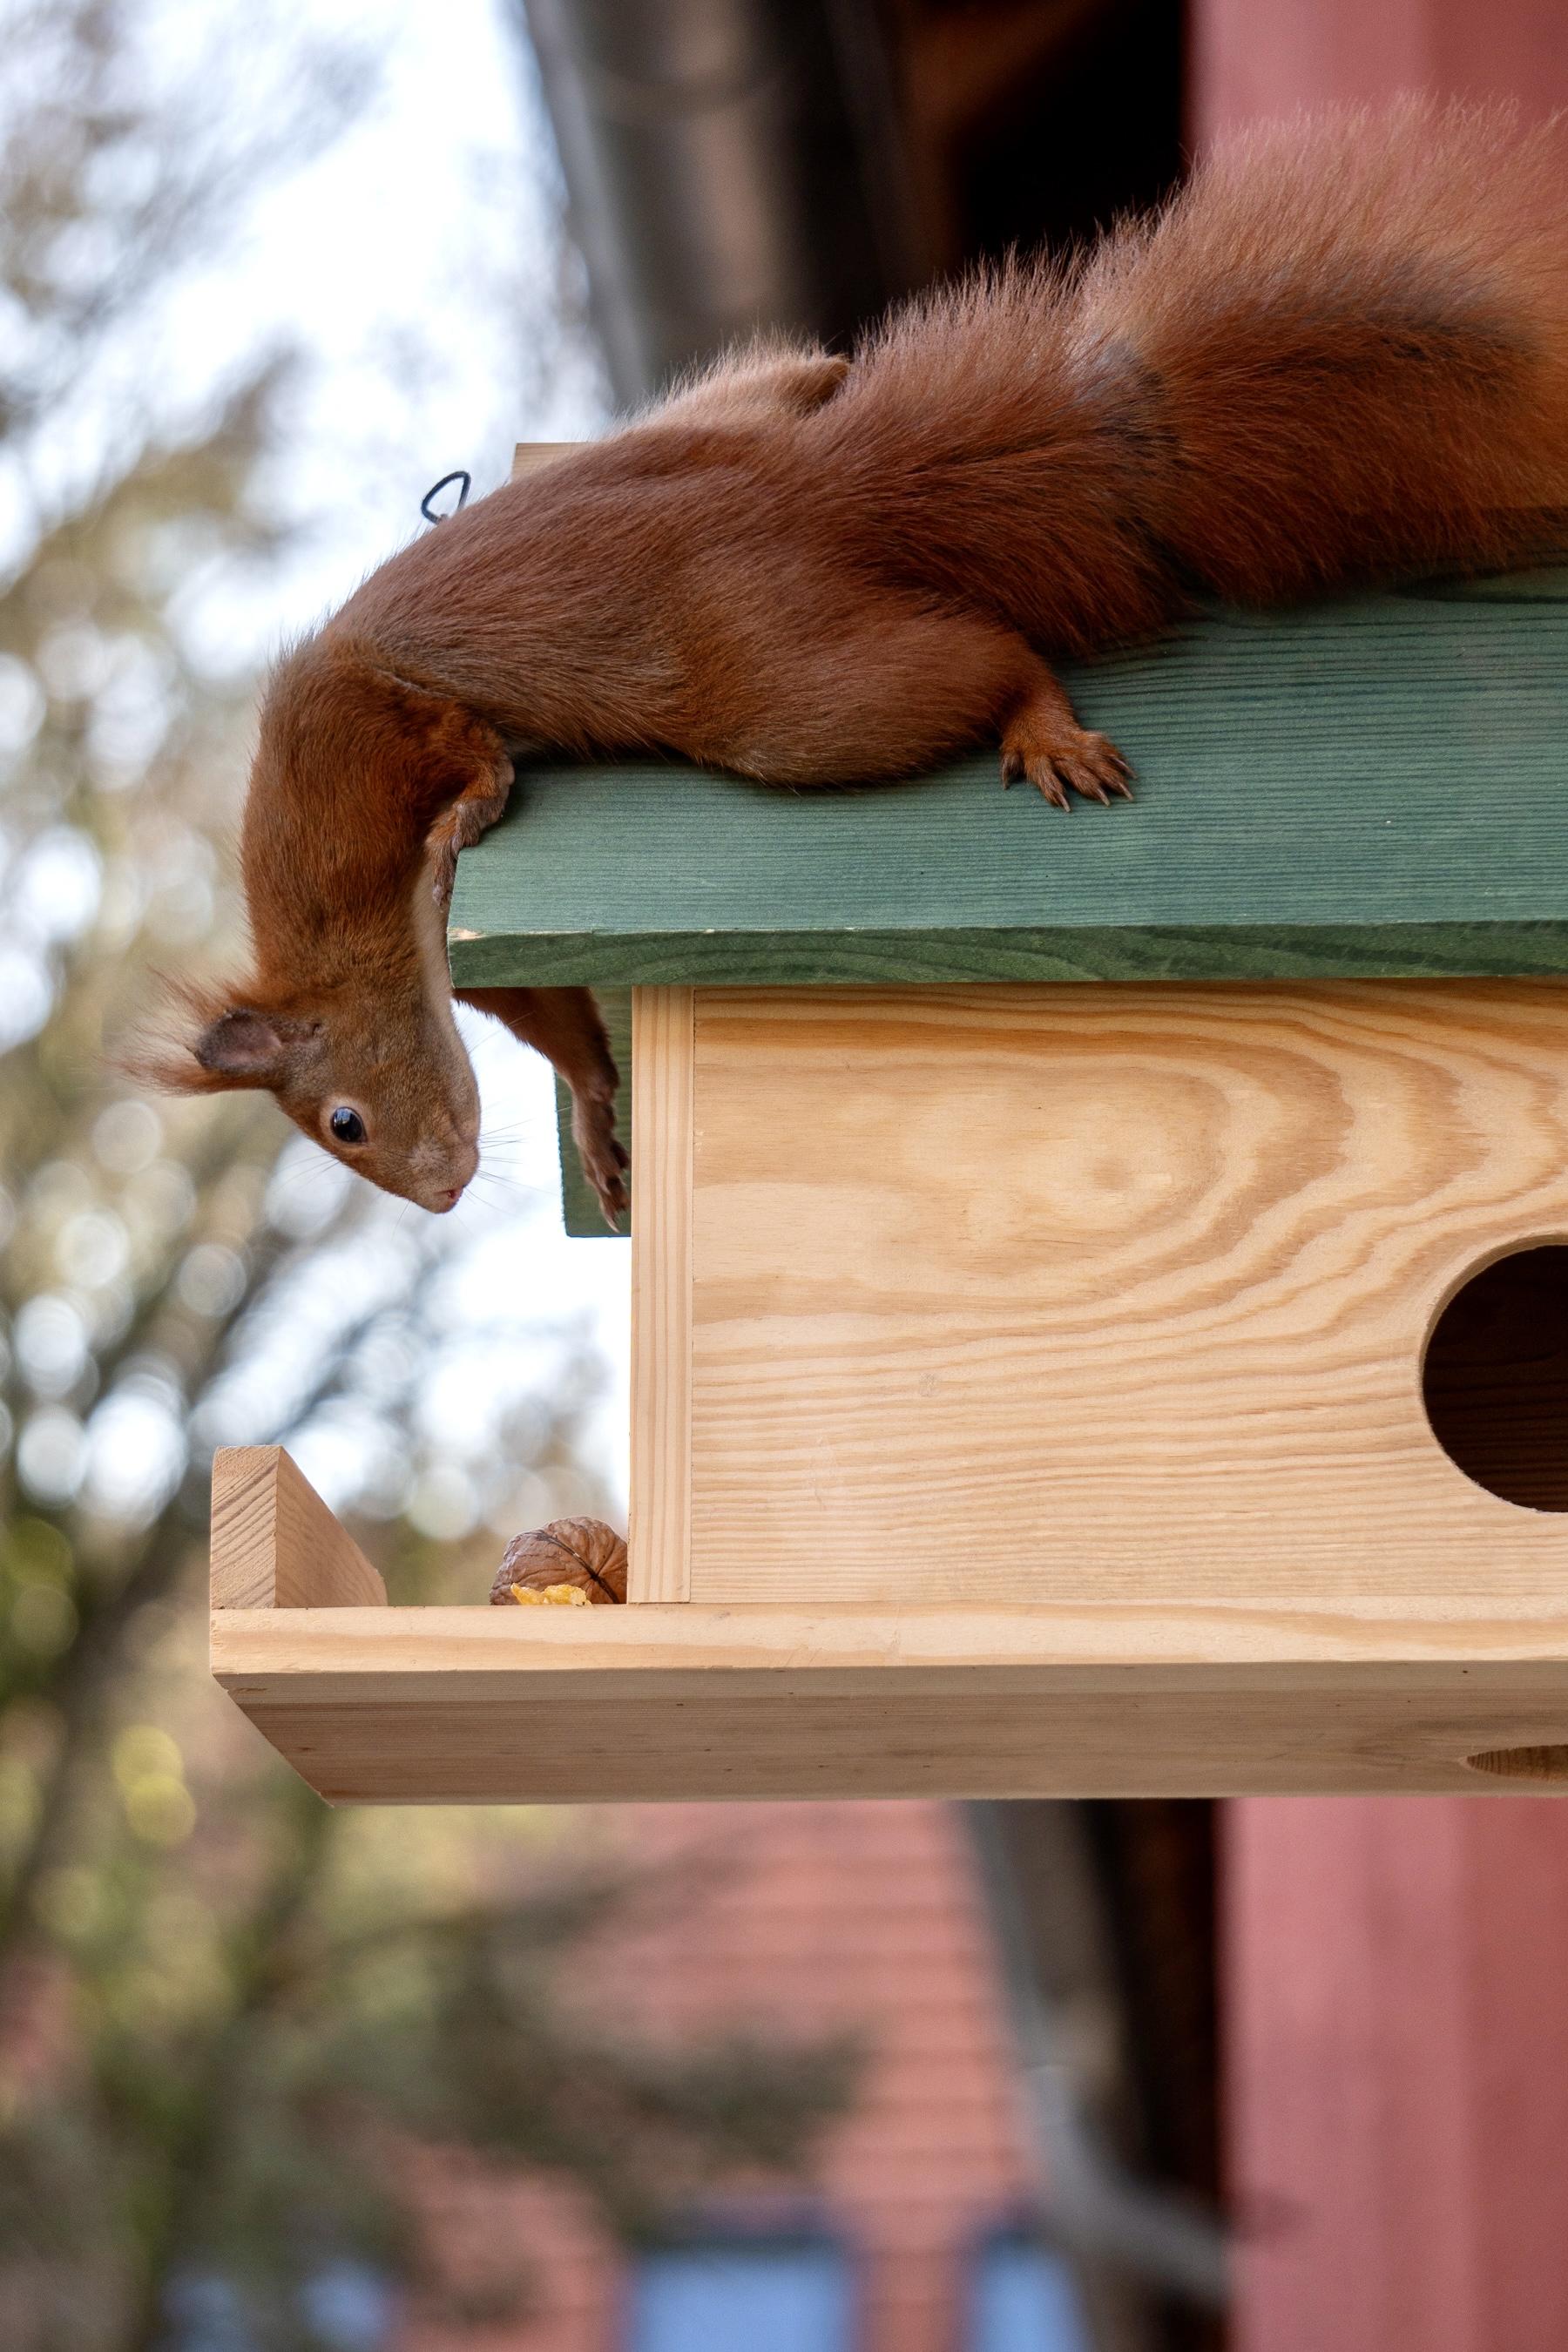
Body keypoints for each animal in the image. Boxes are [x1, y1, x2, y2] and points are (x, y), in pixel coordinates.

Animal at [141, 100, 1568, 1222]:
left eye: (343, 1124)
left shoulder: (354, 741)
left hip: (780, 688)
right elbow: (560, 1021)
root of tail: (817, 498)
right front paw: (602, 1116)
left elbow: (444, 747)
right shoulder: (485, 967)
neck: (349, 929)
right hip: (749, 463)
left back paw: (1041, 724)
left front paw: (474, 795)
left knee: (983, 657)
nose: (439, 1196)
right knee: (804, 385)